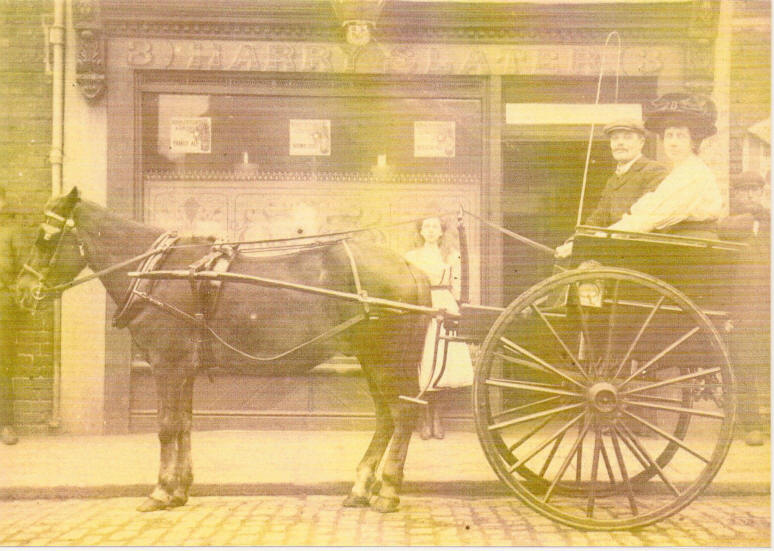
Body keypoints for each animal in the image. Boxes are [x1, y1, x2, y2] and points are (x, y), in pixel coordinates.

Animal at [15, 189, 434, 512]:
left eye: (45, 237)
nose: (22, 291)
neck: (156, 272)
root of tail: (411, 268)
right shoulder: (183, 368)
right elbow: (183, 424)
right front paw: (180, 489)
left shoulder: (166, 365)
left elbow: (166, 427)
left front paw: (160, 491)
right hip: (371, 360)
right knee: (385, 418)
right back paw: (361, 488)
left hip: (387, 360)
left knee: (403, 415)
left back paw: (388, 491)